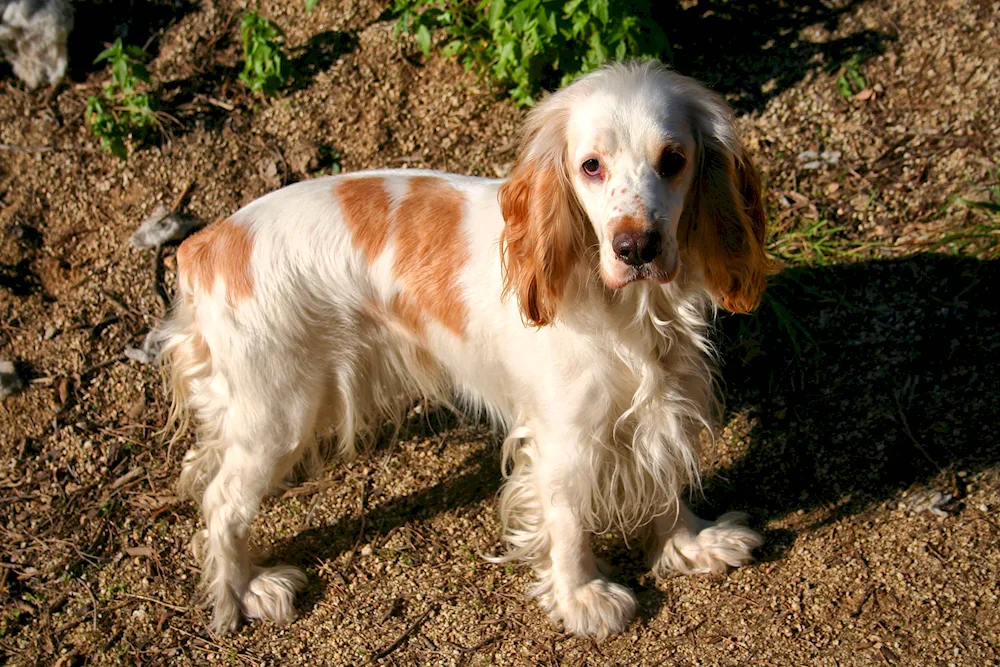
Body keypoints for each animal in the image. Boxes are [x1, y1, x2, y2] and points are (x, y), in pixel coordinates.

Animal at [158, 61, 772, 636]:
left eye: (673, 159)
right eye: (591, 166)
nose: (636, 246)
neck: (634, 311)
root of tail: (207, 244)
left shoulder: (661, 401)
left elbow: (665, 479)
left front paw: (689, 544)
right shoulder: (565, 438)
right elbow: (568, 521)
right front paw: (581, 597)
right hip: (279, 416)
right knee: (222, 504)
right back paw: (245, 589)